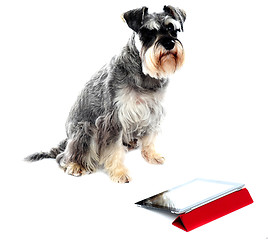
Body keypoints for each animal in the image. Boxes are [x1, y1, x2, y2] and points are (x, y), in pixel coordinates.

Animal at [26, 5, 186, 182]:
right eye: (147, 32)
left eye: (172, 29)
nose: (169, 43)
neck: (143, 72)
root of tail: (67, 138)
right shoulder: (113, 119)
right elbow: (114, 149)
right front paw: (119, 172)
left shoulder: (152, 111)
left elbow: (149, 137)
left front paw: (152, 155)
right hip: (84, 129)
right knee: (64, 156)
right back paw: (76, 165)